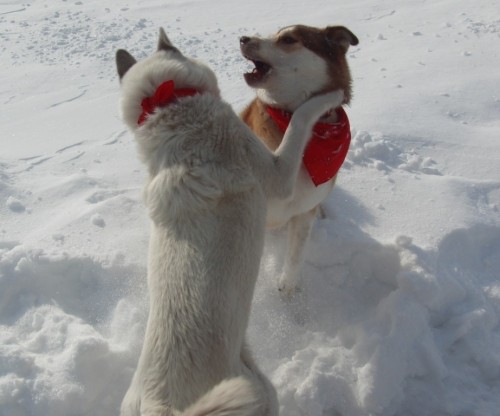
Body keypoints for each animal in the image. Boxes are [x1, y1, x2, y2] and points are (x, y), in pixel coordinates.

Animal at [115, 28, 346, 416]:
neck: (172, 109)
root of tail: (161, 406)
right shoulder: (279, 175)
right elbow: (301, 118)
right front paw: (330, 96)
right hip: (260, 391)